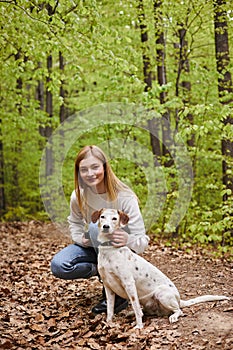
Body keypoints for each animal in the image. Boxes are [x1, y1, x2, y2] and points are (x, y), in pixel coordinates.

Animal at [91, 209, 229, 330]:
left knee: (178, 310)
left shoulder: (129, 284)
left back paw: (173, 316)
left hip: (161, 293)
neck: (108, 250)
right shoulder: (108, 286)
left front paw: (139, 326)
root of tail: (179, 299)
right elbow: (110, 309)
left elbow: (135, 307)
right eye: (102, 217)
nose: (106, 226)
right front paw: (108, 323)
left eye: (114, 218)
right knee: (145, 311)